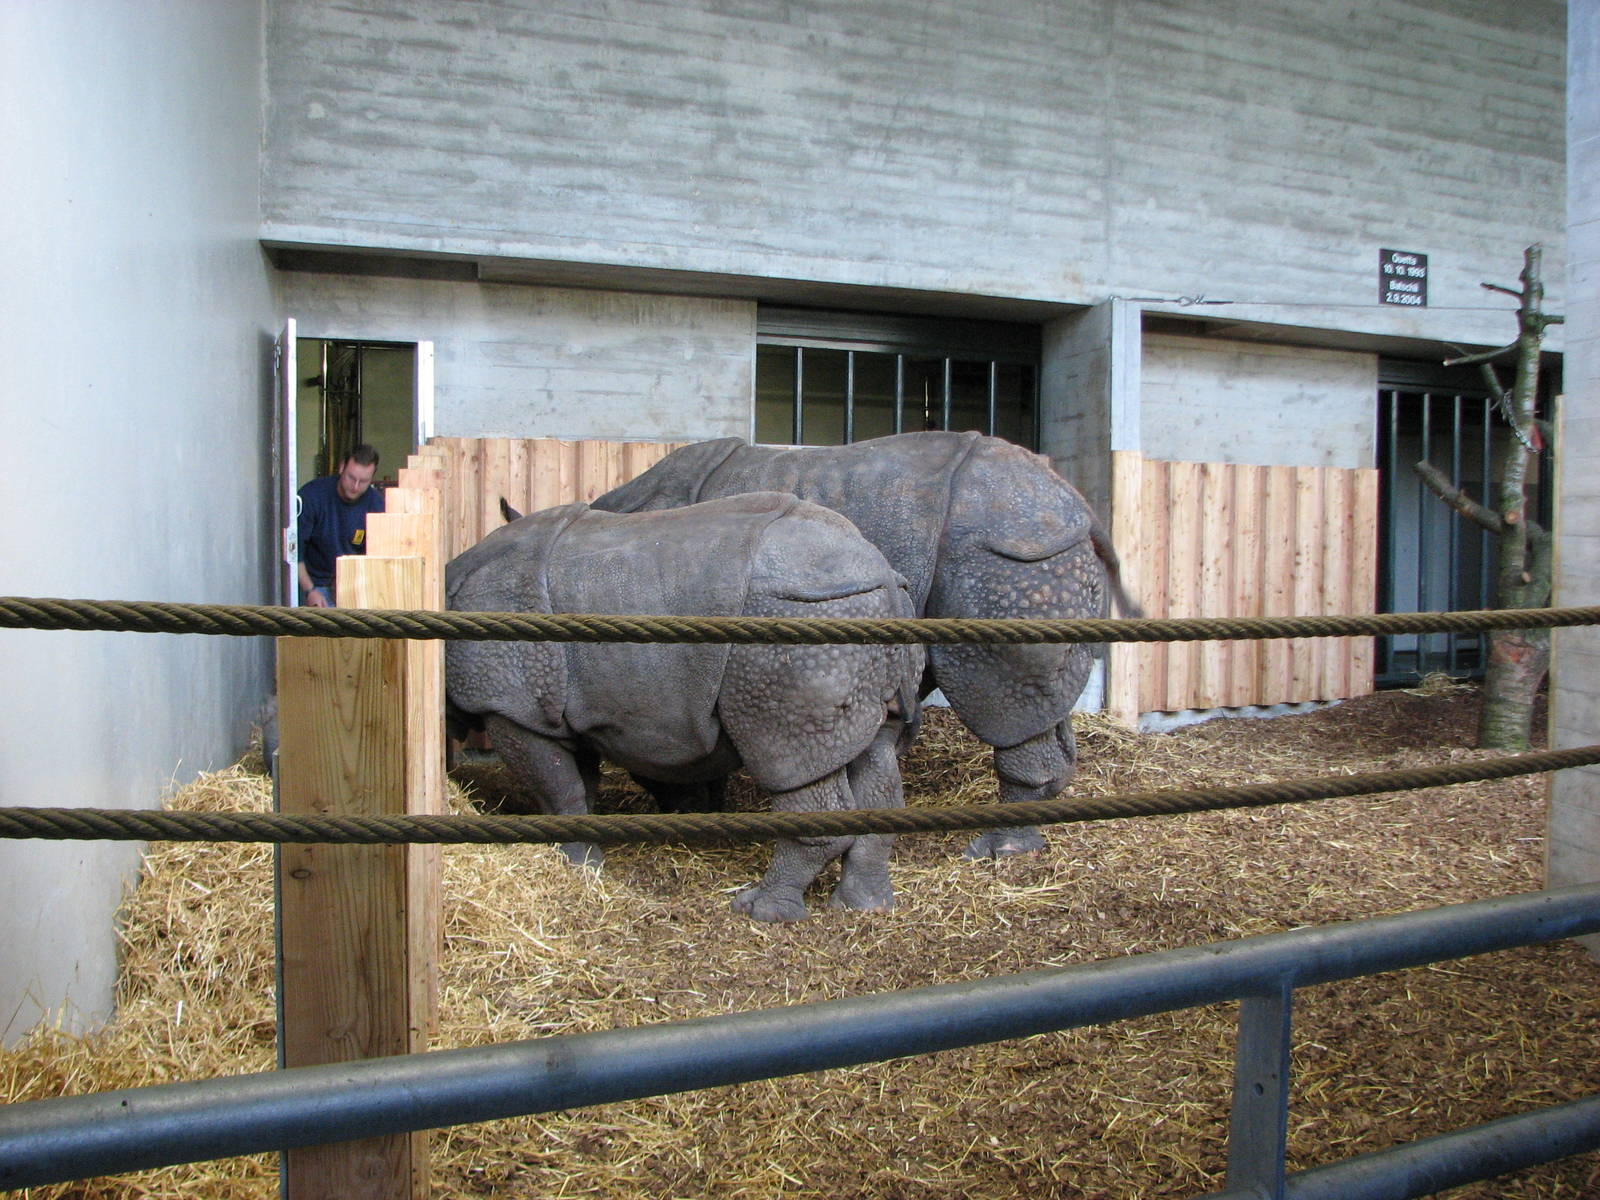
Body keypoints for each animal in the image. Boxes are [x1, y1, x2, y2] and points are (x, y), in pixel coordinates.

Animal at [445, 492, 924, 922]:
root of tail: (881, 573)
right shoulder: (559, 707)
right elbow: (578, 785)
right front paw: (583, 859)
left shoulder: (511, 705)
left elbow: (556, 788)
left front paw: (576, 864)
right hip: (857, 617)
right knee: (874, 751)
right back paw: (862, 906)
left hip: (798, 623)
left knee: (788, 757)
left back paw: (760, 911)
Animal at [592, 431, 1139, 859]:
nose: (684, 811)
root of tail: (1073, 501)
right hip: (1032, 547)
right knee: (1047, 701)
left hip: (1008, 552)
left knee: (1001, 698)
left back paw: (996, 848)